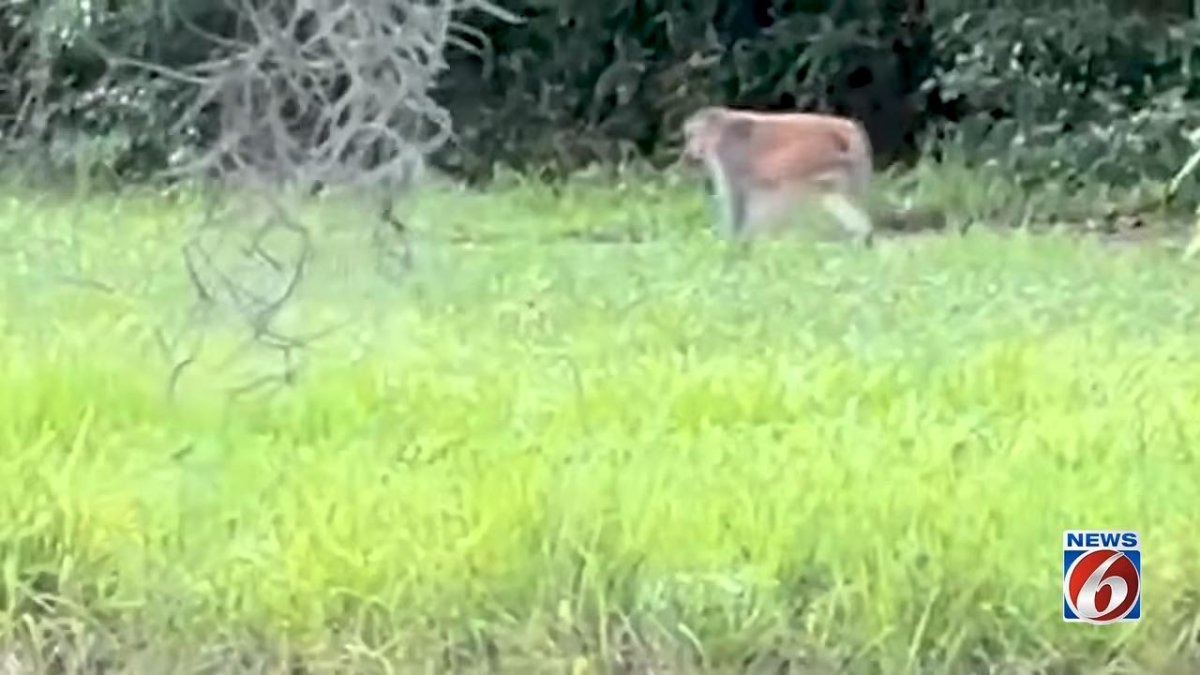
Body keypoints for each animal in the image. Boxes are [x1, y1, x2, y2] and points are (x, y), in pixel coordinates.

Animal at [680, 106, 877, 247]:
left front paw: (732, 243)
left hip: (812, 156)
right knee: (832, 194)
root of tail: (846, 128)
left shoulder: (728, 153)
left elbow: (736, 198)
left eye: (691, 135)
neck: (719, 130)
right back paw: (863, 236)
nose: (690, 149)